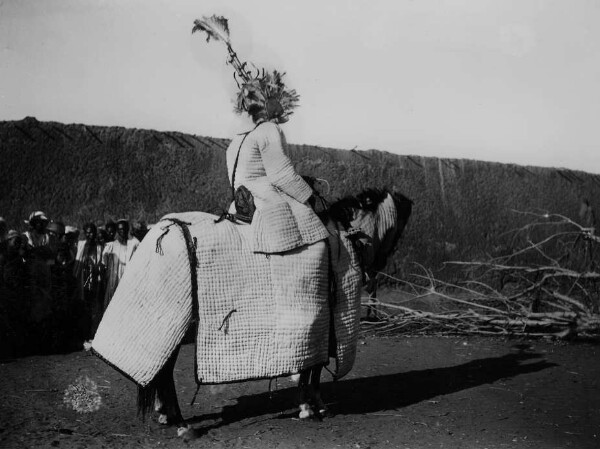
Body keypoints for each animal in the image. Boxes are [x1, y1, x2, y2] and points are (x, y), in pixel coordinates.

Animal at [91, 186, 412, 434]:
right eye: (399, 225)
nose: (379, 268)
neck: (341, 238)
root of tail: (165, 231)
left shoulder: (322, 331)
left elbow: (312, 369)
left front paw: (315, 404)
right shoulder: (321, 325)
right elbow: (311, 370)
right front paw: (309, 407)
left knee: (159, 370)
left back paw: (166, 415)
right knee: (165, 373)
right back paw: (181, 423)